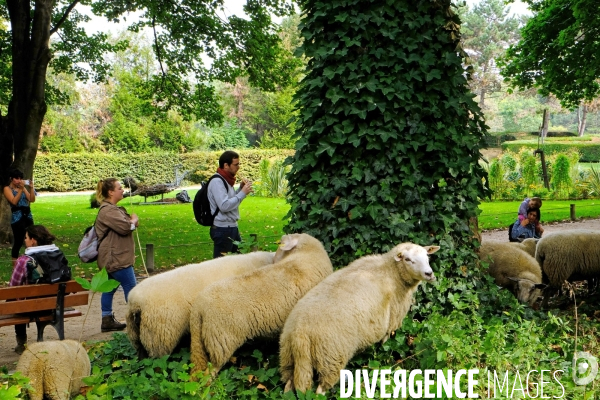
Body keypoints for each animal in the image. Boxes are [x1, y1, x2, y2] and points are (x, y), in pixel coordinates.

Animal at [190, 233, 332, 376]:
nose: (273, 260)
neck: (306, 254)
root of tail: (198, 308)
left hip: (203, 342)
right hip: (221, 342)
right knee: (209, 373)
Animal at [278, 241, 438, 394]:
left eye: (427, 256)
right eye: (408, 259)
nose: (429, 274)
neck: (391, 272)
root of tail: (299, 334)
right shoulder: (392, 318)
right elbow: (385, 340)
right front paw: (382, 350)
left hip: (288, 358)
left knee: (288, 385)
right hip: (331, 357)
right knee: (320, 389)